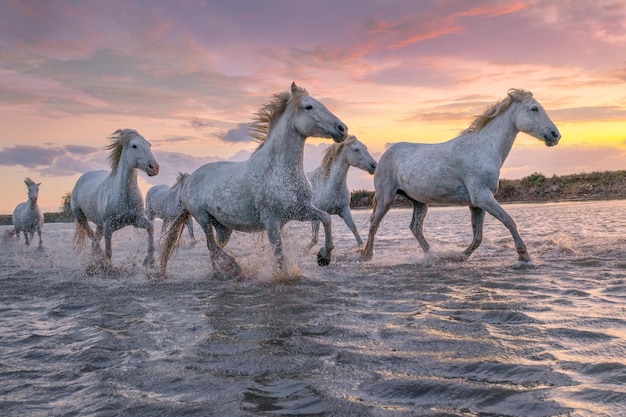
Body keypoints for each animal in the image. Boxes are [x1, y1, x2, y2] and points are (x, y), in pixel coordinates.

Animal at [69, 128, 160, 268]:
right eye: (134, 146)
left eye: (149, 145)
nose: (154, 167)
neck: (124, 196)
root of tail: (82, 178)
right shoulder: (109, 227)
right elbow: (109, 251)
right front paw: (108, 266)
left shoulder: (137, 220)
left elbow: (151, 227)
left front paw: (149, 260)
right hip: (81, 217)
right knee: (92, 237)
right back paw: (99, 258)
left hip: (99, 224)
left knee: (95, 239)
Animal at [160, 81, 346, 278]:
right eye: (308, 106)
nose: (342, 129)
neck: (279, 172)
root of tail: (189, 178)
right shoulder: (271, 221)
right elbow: (279, 255)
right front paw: (284, 276)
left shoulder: (300, 210)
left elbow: (326, 218)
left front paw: (323, 257)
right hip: (202, 218)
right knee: (212, 245)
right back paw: (234, 268)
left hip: (223, 227)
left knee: (214, 248)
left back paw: (220, 273)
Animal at [360, 88, 560, 264]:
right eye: (534, 108)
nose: (555, 135)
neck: (483, 148)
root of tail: (386, 153)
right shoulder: (482, 197)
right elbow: (509, 221)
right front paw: (523, 255)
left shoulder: (477, 204)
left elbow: (478, 237)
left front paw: (460, 257)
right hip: (386, 198)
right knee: (374, 224)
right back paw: (367, 256)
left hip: (419, 202)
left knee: (415, 228)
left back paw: (433, 256)